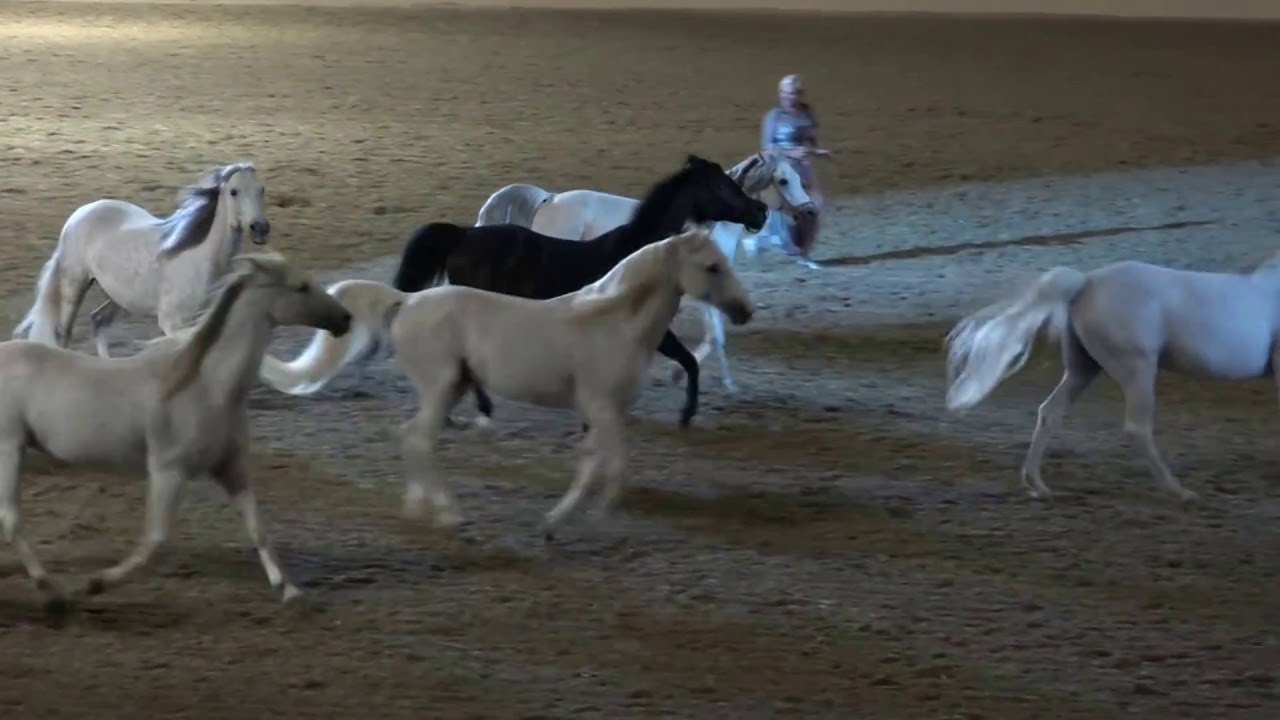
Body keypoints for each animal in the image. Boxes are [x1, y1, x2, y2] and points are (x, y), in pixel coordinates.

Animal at [0, 252, 352, 610]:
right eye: (301, 287)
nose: (345, 319)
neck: (207, 385)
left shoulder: (231, 467)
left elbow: (258, 529)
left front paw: (289, 590)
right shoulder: (169, 471)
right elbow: (155, 540)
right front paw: (95, 584)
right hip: (9, 448)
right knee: (11, 520)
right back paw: (51, 591)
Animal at [12, 163, 271, 358]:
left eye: (261, 189)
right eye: (234, 191)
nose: (260, 228)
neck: (200, 258)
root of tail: (80, 213)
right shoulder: (172, 323)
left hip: (118, 294)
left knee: (98, 320)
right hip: (74, 285)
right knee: (64, 333)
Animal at [262, 154, 767, 428]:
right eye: (726, 186)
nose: (761, 213)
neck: (641, 255)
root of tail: (462, 233)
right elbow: (687, 363)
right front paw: (684, 415)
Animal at [943, 256, 1280, 501]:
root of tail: (1086, 281)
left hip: (1082, 369)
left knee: (1049, 413)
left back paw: (1038, 485)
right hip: (1138, 370)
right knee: (1137, 428)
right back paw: (1179, 491)